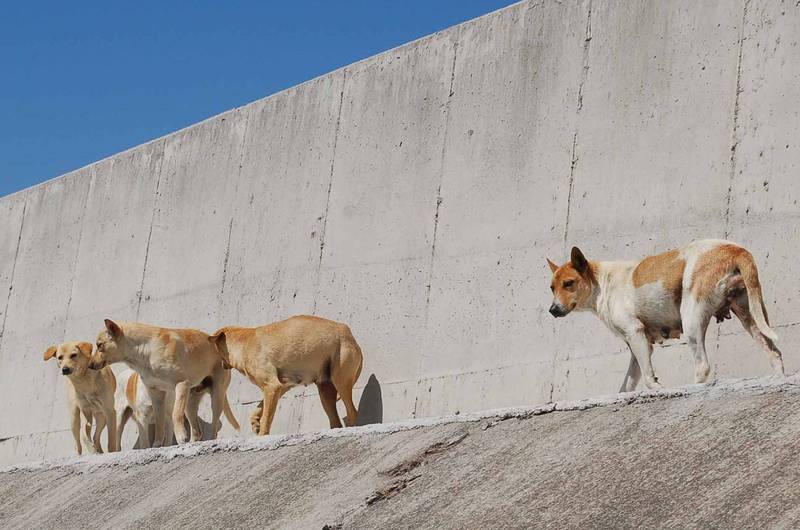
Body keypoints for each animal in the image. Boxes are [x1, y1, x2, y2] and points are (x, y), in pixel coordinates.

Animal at [88, 320, 238, 444]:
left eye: (99, 345)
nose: (89, 365)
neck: (145, 351)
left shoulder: (181, 384)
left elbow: (175, 413)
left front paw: (180, 435)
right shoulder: (157, 395)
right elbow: (159, 423)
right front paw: (157, 444)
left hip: (216, 396)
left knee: (214, 426)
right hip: (190, 402)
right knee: (197, 431)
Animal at [209, 314, 366, 434]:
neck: (243, 342)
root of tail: (349, 334)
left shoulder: (272, 386)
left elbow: (266, 418)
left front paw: (262, 433)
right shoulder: (282, 386)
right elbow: (260, 407)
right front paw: (255, 422)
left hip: (340, 379)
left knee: (352, 412)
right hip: (325, 389)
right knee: (335, 420)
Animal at [548, 237, 784, 390]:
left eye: (568, 283)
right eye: (552, 288)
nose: (552, 310)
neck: (602, 282)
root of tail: (734, 249)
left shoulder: (635, 333)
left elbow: (649, 379)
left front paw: (658, 387)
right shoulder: (637, 345)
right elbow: (627, 386)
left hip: (691, 319)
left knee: (702, 366)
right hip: (749, 314)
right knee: (774, 353)